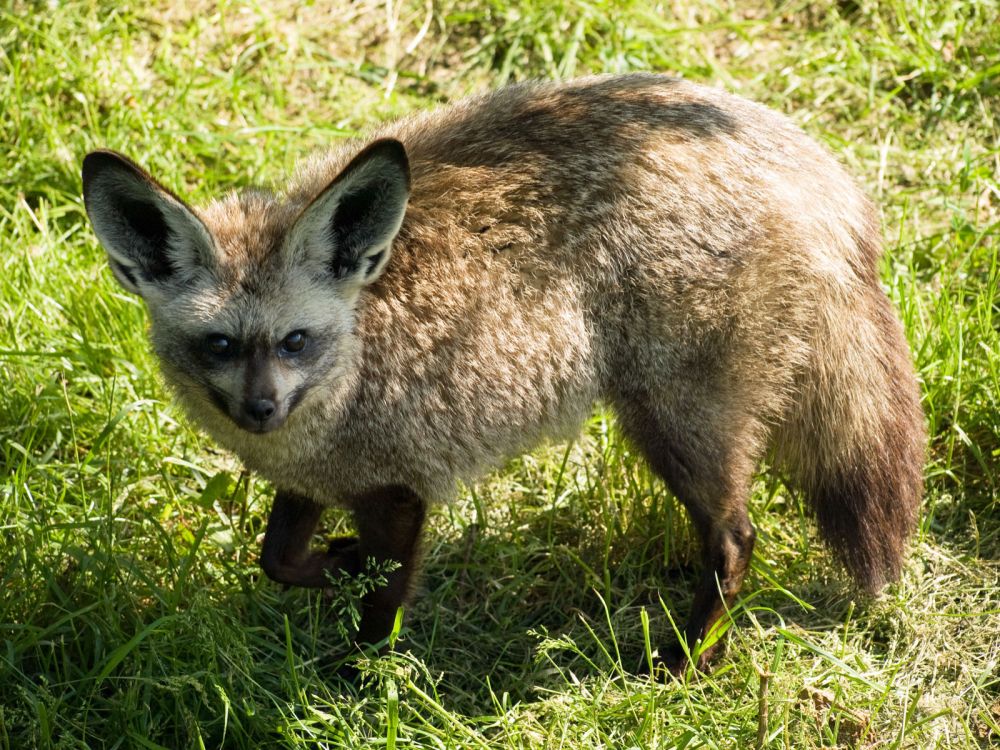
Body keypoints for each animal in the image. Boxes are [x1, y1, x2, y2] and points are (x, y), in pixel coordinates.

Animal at [82, 73, 924, 680]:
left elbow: (379, 612)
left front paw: (359, 689)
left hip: (678, 429)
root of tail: (819, 173)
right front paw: (337, 566)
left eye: (295, 341)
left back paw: (689, 662)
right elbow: (279, 560)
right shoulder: (316, 476)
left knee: (736, 541)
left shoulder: (400, 490)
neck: (356, 362)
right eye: (220, 344)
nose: (259, 410)